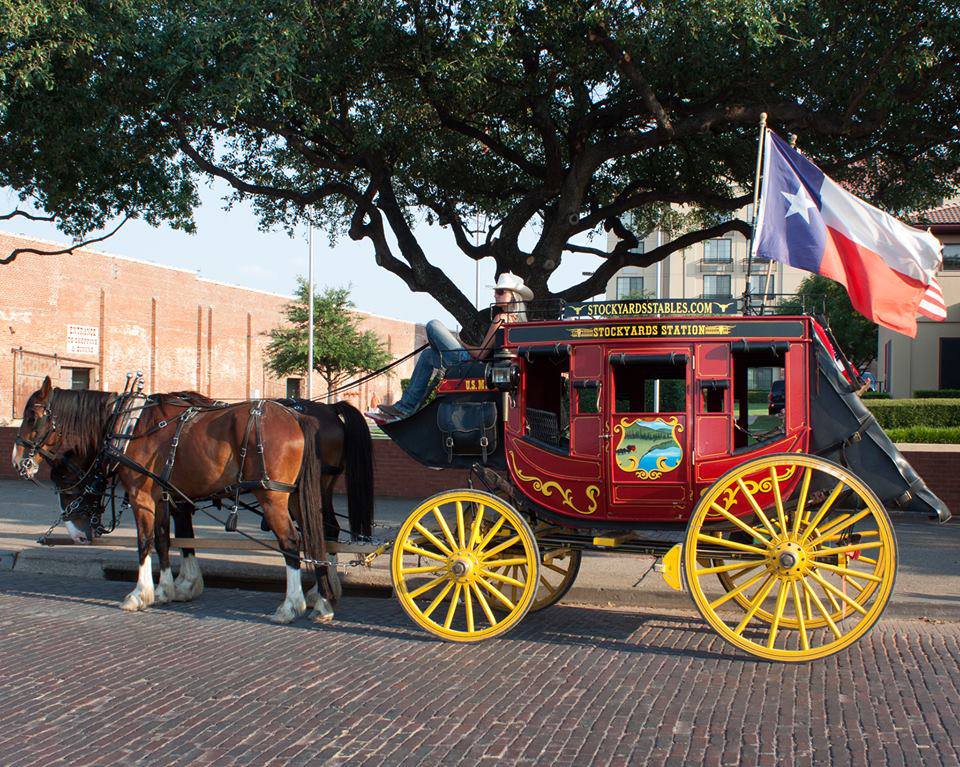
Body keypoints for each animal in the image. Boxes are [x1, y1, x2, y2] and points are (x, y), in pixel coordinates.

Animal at [15, 376, 376, 624]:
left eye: (32, 416)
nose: (20, 461)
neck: (129, 427)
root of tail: (302, 417)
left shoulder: (143, 495)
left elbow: (146, 541)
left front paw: (142, 593)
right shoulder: (164, 494)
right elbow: (166, 539)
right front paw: (169, 588)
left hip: (274, 496)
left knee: (292, 541)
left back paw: (292, 604)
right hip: (301, 494)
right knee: (320, 535)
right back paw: (323, 599)